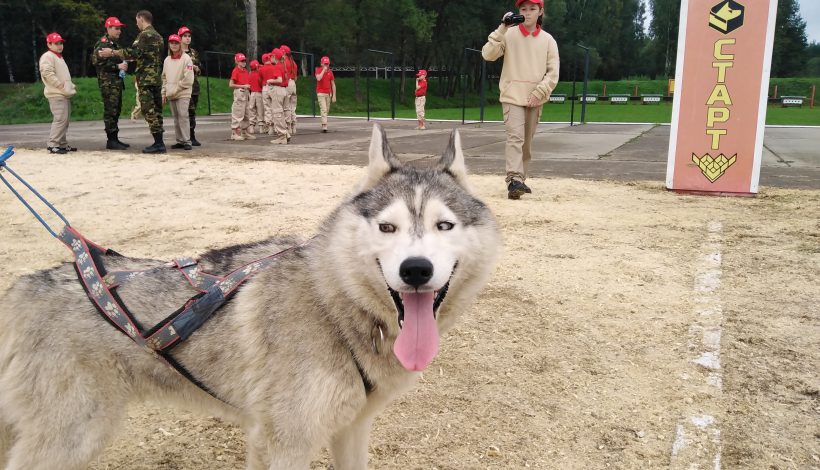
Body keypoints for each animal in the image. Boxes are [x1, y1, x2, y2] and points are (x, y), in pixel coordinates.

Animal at [0, 123, 500, 468]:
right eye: (387, 227)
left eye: (444, 225)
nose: (415, 270)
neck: (334, 303)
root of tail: (22, 287)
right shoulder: (283, 443)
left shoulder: (352, 429)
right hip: (72, 437)